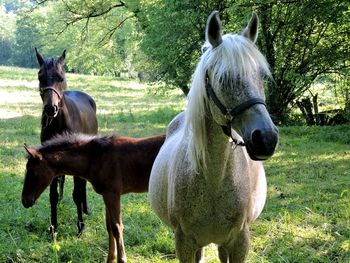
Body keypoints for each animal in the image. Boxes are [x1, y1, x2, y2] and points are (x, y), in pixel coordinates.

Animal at [22, 134, 167, 263]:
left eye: (32, 171)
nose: (24, 201)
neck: (96, 158)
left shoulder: (112, 194)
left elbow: (117, 227)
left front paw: (121, 259)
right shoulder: (107, 195)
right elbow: (110, 227)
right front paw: (110, 259)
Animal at [35, 49, 98, 237]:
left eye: (61, 77)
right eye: (40, 77)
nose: (51, 108)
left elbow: (77, 192)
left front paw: (80, 226)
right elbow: (53, 195)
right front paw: (53, 226)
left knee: (82, 184)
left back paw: (85, 210)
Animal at [150, 11, 278, 262]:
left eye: (261, 75)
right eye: (223, 77)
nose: (266, 139)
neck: (214, 179)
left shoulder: (239, 242)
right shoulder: (184, 243)